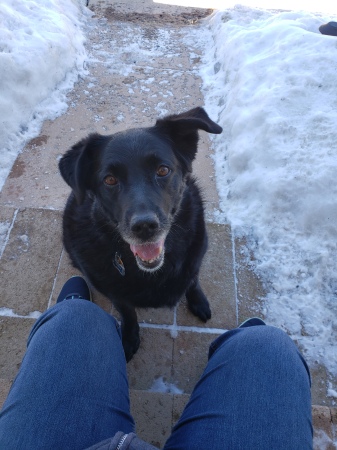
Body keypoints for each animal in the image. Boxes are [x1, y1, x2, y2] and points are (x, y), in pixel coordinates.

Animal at [59, 106, 222, 362]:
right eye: (110, 179)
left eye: (163, 170)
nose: (144, 226)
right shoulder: (114, 292)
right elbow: (128, 312)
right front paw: (129, 337)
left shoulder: (195, 258)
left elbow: (193, 280)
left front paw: (198, 301)